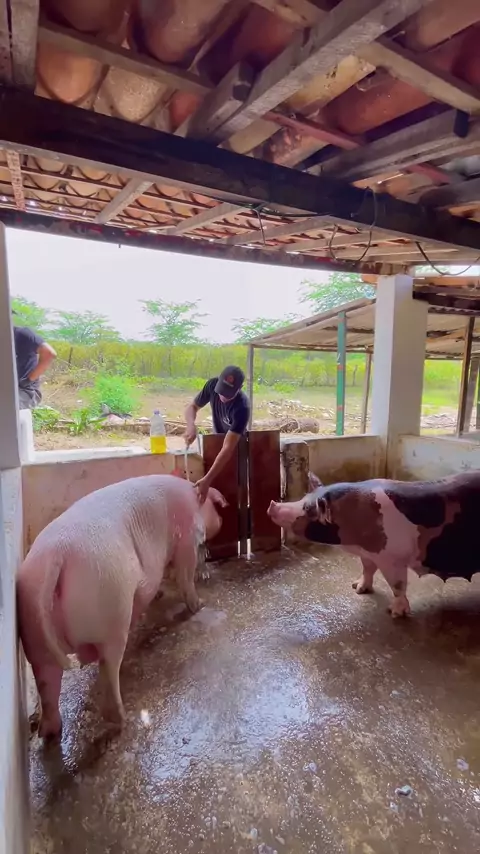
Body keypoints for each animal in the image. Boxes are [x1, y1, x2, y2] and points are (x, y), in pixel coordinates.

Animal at [17, 474, 227, 740]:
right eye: (216, 507)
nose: (221, 520)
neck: (194, 498)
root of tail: (58, 554)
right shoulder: (187, 539)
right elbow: (185, 576)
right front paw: (198, 605)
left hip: (32, 625)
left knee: (47, 682)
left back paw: (49, 731)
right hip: (109, 608)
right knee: (109, 666)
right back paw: (123, 720)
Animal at [268, 471, 480, 619]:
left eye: (307, 509)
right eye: (304, 498)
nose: (272, 504)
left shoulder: (392, 557)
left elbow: (397, 585)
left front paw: (394, 613)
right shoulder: (368, 552)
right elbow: (368, 569)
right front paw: (357, 588)